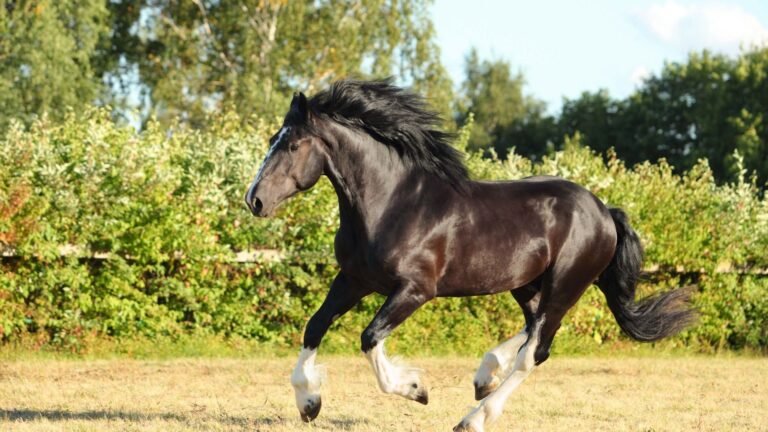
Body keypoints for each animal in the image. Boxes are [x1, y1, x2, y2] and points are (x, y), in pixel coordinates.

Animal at [244, 79, 695, 431]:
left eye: (294, 145)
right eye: (272, 141)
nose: (255, 200)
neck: (391, 204)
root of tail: (604, 211)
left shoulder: (414, 290)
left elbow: (369, 338)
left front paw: (415, 389)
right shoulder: (354, 280)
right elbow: (315, 326)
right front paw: (309, 404)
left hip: (566, 285)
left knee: (536, 351)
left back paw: (473, 417)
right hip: (526, 284)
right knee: (532, 329)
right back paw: (485, 376)